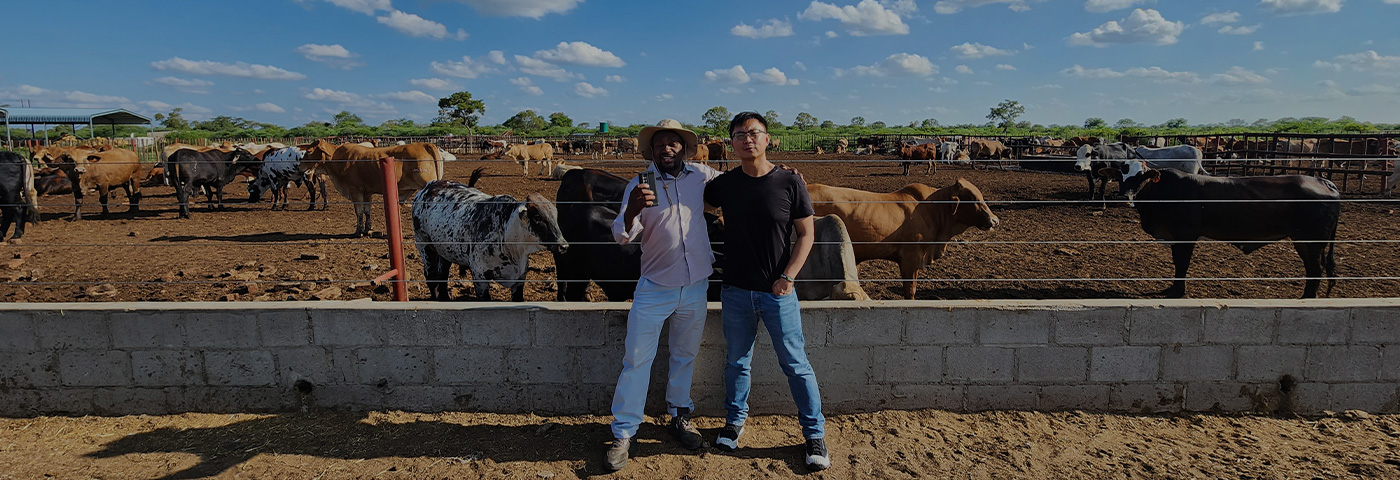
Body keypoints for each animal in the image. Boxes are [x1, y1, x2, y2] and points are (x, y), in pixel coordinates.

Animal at [301, 139, 442, 236]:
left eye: (308, 151)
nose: (299, 165)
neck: (338, 158)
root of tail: (424, 144)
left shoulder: (355, 190)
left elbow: (358, 211)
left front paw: (358, 231)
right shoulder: (367, 193)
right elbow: (367, 211)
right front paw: (367, 229)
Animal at [408, 169, 568, 300]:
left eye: (555, 215)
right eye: (537, 217)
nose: (563, 246)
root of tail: (427, 187)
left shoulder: (519, 279)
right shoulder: (480, 276)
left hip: (445, 252)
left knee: (443, 275)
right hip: (424, 246)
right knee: (431, 276)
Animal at [1108, 161, 1338, 296]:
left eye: (1142, 176)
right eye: (1120, 176)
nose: (1123, 196)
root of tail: (1324, 182)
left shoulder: (1186, 234)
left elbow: (1182, 263)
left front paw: (1177, 291)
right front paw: (1173, 287)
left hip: (1310, 241)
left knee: (1315, 271)